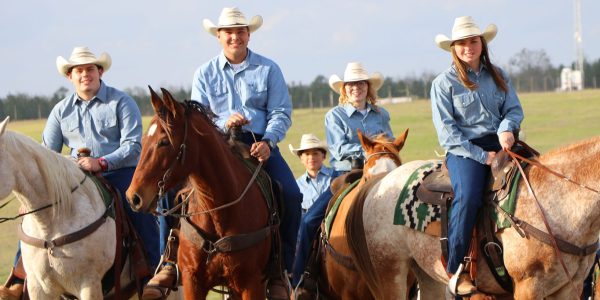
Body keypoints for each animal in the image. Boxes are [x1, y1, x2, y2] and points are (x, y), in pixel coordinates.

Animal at [125, 88, 278, 298]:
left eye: (164, 142)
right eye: (144, 140)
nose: (133, 197)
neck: (218, 212)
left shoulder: (252, 283)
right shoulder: (192, 281)